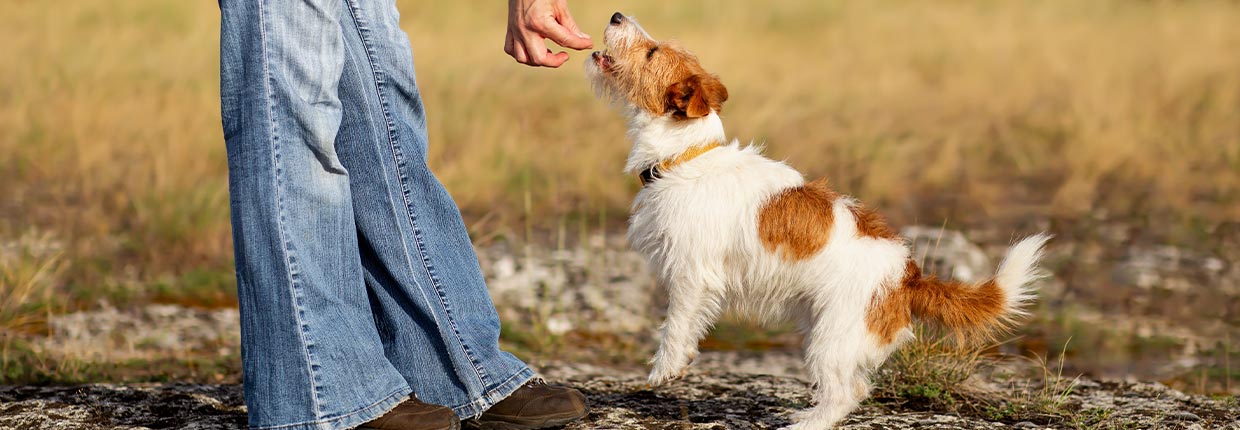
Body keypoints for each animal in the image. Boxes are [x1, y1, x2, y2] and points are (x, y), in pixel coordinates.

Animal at [585, 11, 1051, 428]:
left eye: (651, 52)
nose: (616, 14)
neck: (684, 156)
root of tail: (907, 276)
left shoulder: (691, 274)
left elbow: (676, 325)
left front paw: (664, 369)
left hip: (833, 337)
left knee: (847, 393)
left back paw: (807, 424)